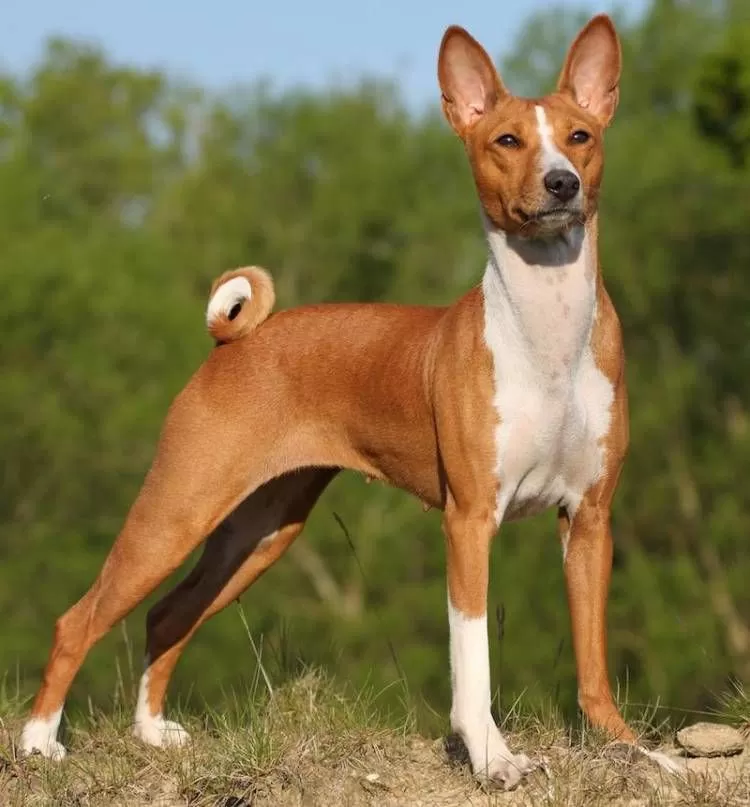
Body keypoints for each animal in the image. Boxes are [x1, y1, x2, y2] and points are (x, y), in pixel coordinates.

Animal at [20, 15, 680, 792]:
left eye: (580, 136)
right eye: (507, 141)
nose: (561, 182)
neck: (546, 336)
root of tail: (234, 342)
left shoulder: (589, 517)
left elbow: (593, 663)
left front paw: (633, 749)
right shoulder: (469, 520)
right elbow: (473, 662)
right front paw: (492, 758)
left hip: (259, 529)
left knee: (167, 614)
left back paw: (152, 733)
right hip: (178, 509)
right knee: (79, 619)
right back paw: (37, 742)